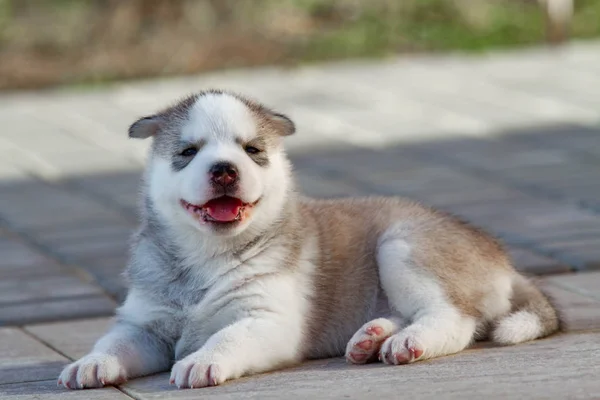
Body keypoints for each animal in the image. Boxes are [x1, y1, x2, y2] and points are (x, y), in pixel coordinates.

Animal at [58, 89, 560, 390]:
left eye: (252, 150)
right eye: (188, 152)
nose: (224, 170)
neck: (207, 256)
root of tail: (504, 260)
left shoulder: (268, 320)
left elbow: (228, 336)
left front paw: (204, 358)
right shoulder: (144, 323)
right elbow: (115, 341)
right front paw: (92, 362)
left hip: (402, 246)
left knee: (454, 318)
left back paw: (407, 342)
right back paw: (372, 337)